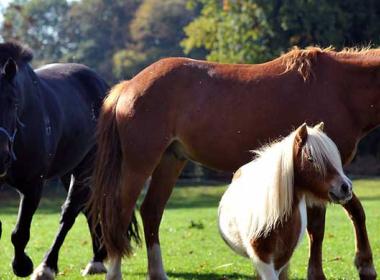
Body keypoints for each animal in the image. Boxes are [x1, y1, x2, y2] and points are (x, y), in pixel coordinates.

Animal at [0, 41, 108, 280]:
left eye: (13, 103)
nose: (0, 154)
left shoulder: (32, 186)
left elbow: (20, 233)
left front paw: (22, 266)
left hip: (86, 170)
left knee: (69, 214)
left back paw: (48, 266)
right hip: (68, 172)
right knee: (88, 209)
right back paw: (96, 259)